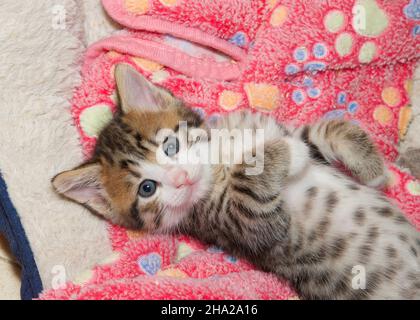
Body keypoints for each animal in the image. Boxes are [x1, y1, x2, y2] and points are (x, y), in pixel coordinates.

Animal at [53, 65, 420, 300]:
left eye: (170, 146)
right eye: (147, 189)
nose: (181, 178)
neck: (220, 159)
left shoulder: (284, 133)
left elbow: (323, 131)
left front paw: (373, 168)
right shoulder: (249, 225)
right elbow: (251, 180)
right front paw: (280, 155)